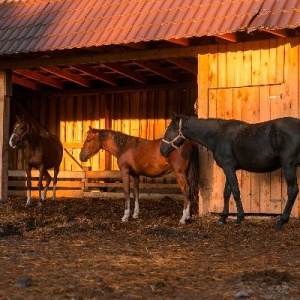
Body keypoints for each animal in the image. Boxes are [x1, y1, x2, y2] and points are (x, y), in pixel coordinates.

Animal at [161, 113, 300, 226]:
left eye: (169, 129)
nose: (162, 150)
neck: (218, 135)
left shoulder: (228, 166)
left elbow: (235, 190)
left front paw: (239, 218)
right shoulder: (229, 167)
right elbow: (227, 192)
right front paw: (223, 218)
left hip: (289, 165)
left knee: (292, 190)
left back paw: (282, 220)